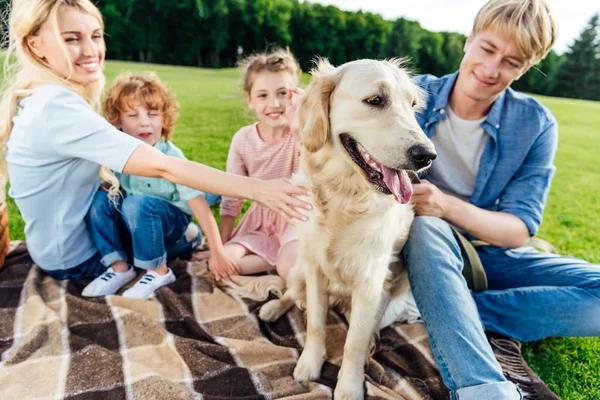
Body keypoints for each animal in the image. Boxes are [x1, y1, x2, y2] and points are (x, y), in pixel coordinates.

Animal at [258, 57, 436, 398]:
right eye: (375, 100)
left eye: (412, 105)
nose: (427, 155)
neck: (344, 197)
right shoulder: (314, 269)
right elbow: (315, 324)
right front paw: (310, 363)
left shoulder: (369, 285)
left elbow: (354, 343)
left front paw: (349, 386)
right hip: (299, 268)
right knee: (290, 292)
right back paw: (272, 308)